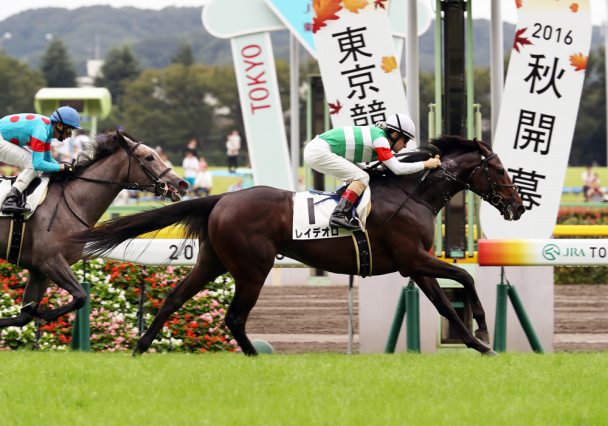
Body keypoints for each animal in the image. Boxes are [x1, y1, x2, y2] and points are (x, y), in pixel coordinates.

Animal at [0, 130, 188, 329]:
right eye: (149, 157)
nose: (182, 184)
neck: (72, 201)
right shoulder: (50, 261)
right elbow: (81, 296)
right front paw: (44, 313)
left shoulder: (39, 271)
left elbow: (24, 315)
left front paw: (35, 310)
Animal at [74, 135, 525, 356]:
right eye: (502, 169)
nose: (519, 206)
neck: (410, 193)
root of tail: (220, 198)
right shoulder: (414, 257)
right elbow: (465, 276)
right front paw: (484, 329)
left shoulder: (414, 263)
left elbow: (445, 302)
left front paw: (479, 345)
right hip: (252, 268)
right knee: (234, 317)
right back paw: (257, 358)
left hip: (213, 262)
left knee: (173, 299)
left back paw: (140, 348)